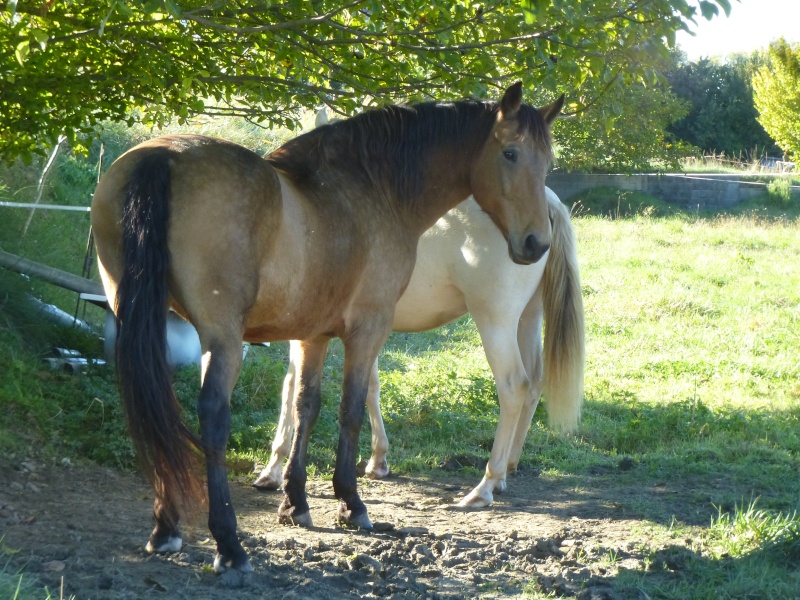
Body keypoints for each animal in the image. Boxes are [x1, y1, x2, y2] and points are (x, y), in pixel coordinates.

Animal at [253, 188, 584, 506]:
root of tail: (547, 200)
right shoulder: (365, 328)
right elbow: (369, 387)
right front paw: (378, 460)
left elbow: (291, 389)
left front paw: (272, 469)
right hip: (527, 318)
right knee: (534, 383)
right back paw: (506, 470)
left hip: (496, 322)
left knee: (514, 386)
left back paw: (485, 486)